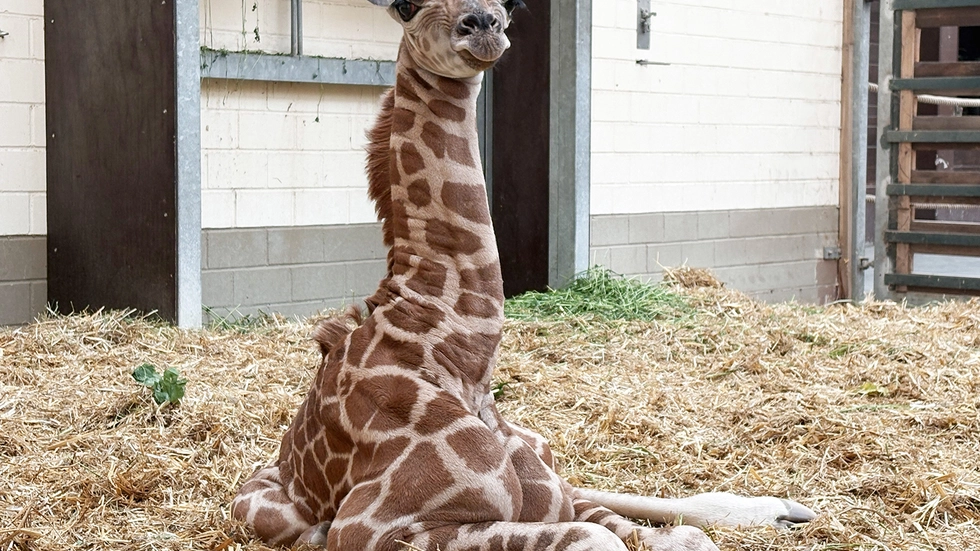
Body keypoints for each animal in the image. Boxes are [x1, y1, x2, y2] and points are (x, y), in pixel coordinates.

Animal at [230, 1, 815, 549]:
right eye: (405, 6)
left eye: (511, 4)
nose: (481, 27)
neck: (460, 355)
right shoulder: (373, 526)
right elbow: (604, 538)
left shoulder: (534, 496)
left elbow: (646, 531)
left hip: (543, 457)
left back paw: (784, 509)